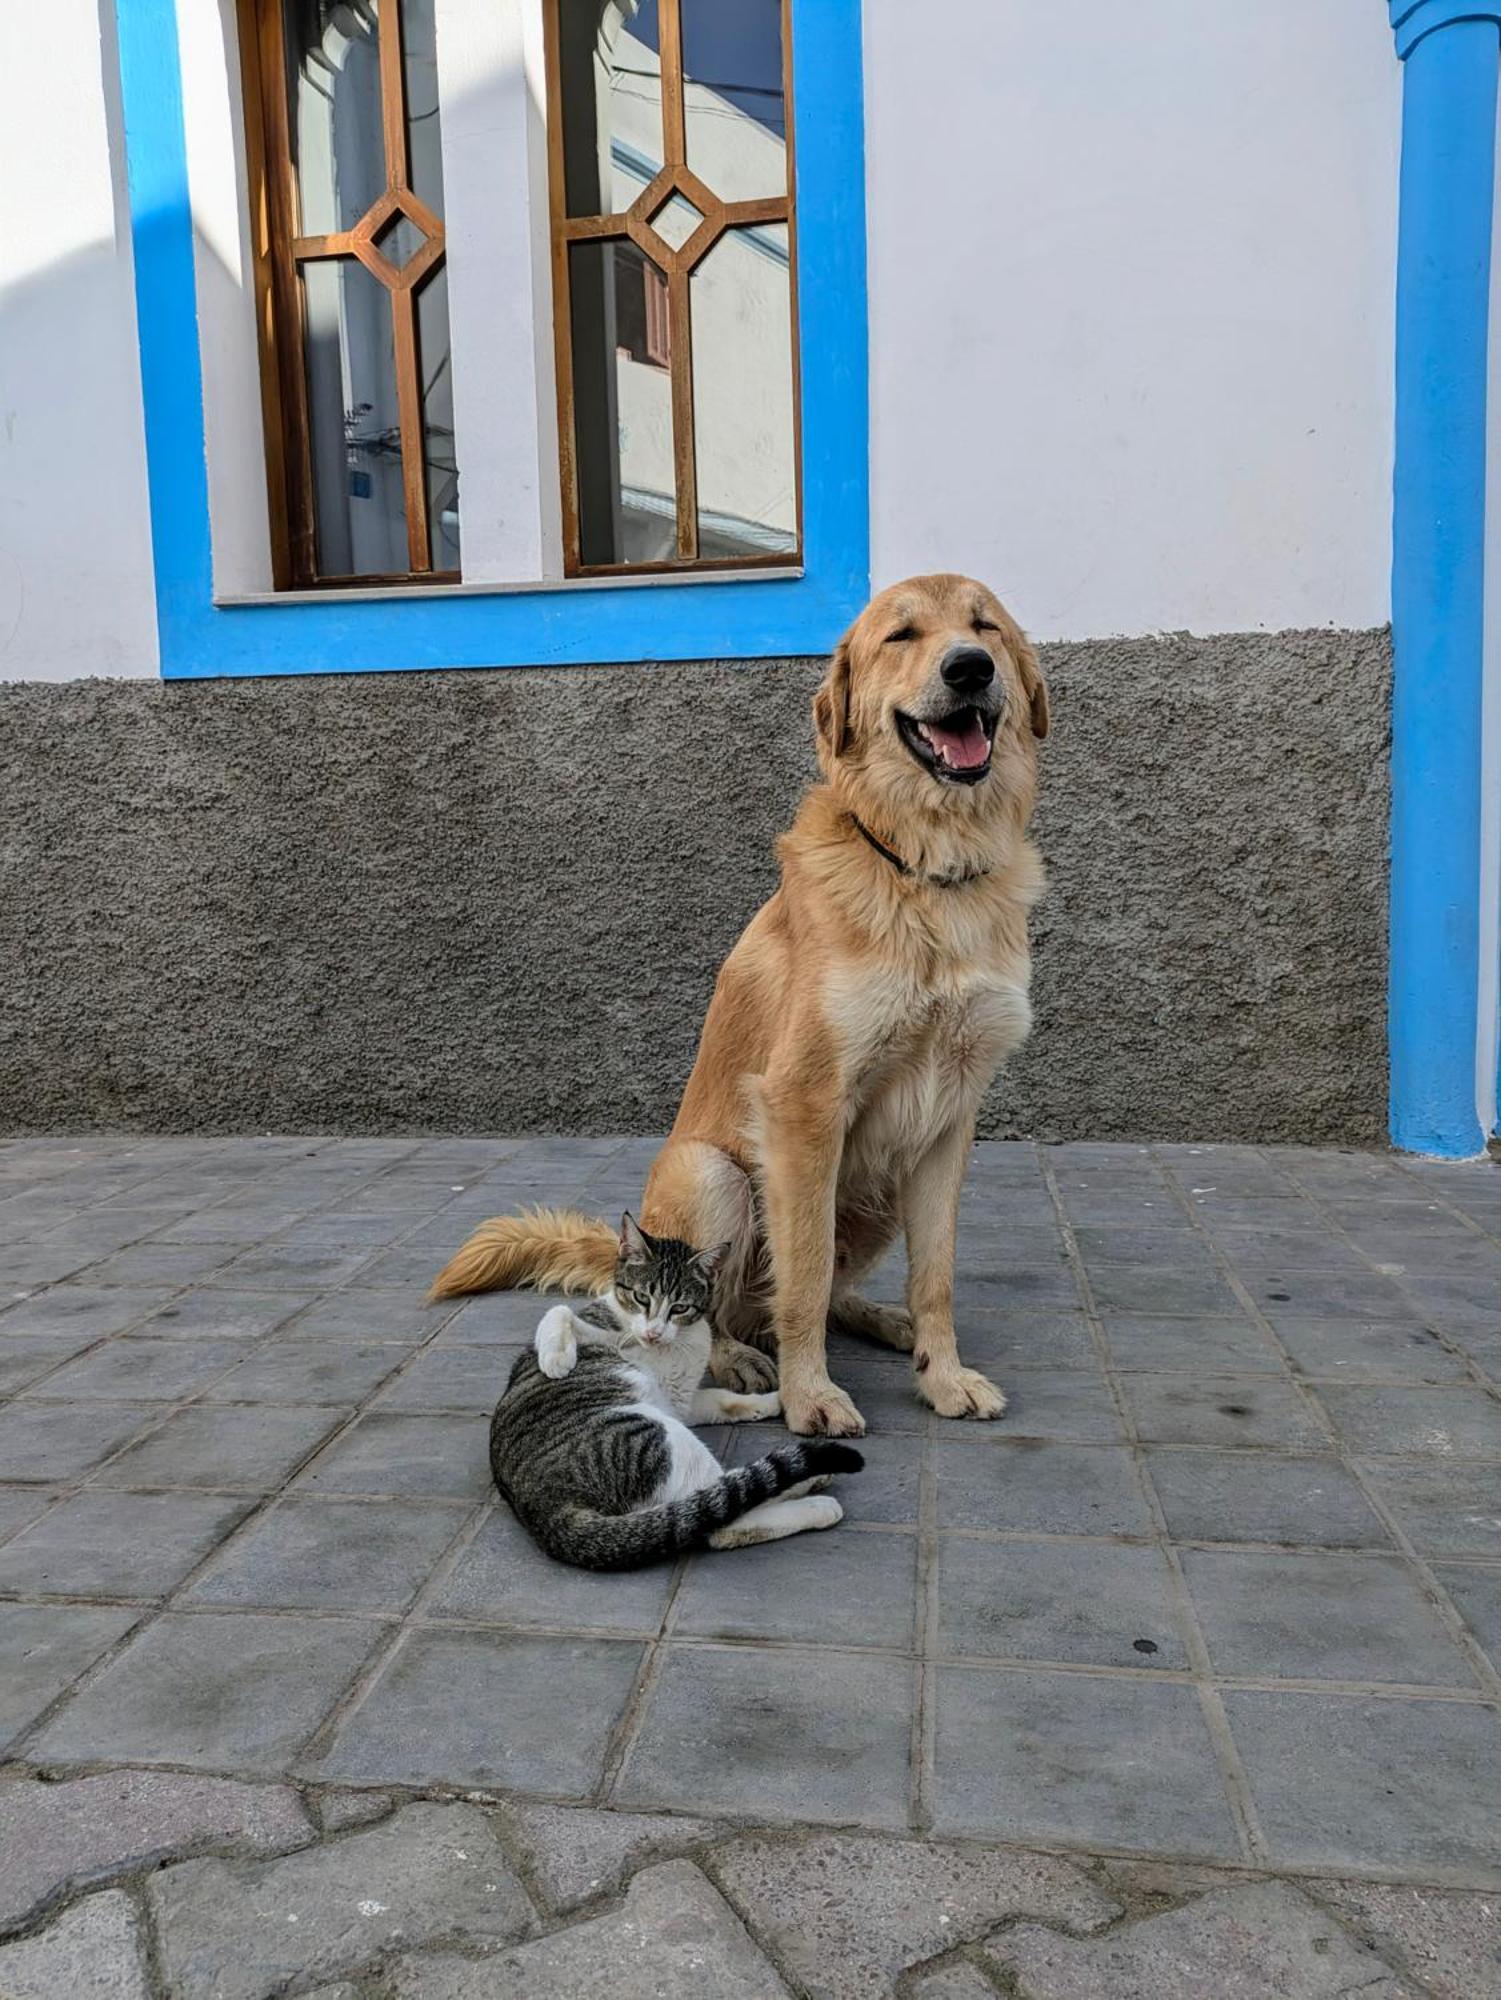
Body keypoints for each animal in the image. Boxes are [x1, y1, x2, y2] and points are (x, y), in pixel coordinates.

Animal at [428, 572, 1048, 1432]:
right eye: (901, 635)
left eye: (983, 626)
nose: (968, 669)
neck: (926, 872)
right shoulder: (802, 1106)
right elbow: (801, 1273)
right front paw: (809, 1392)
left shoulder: (947, 1121)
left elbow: (935, 1274)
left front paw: (941, 1374)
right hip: (714, 1172)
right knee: (698, 1297)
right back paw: (735, 1354)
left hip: (879, 1192)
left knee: (820, 1293)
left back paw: (878, 1320)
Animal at [490, 1208, 864, 1568]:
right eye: (641, 1297)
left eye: (680, 1307)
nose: (653, 1332)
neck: (676, 1345)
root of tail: (549, 1507)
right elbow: (559, 1311)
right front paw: (556, 1360)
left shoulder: (679, 1399)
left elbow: (720, 1399)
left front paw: (772, 1401)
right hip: (657, 1435)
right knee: (719, 1515)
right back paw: (817, 1502)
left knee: (716, 1497)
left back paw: (809, 1479)